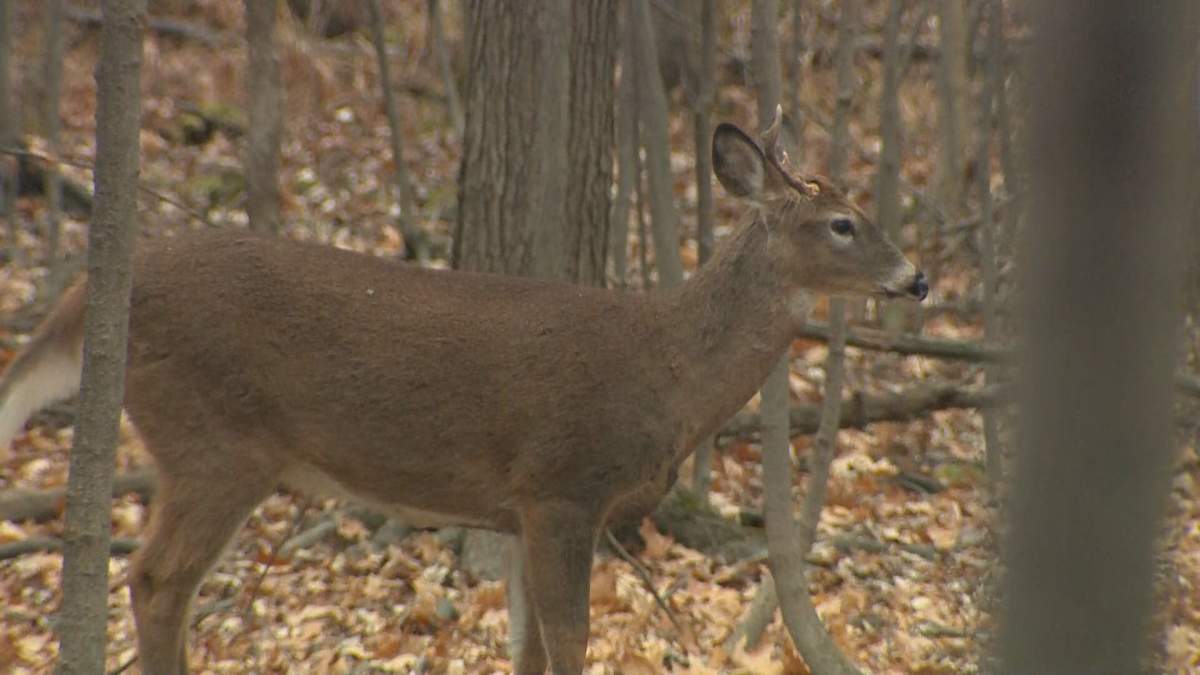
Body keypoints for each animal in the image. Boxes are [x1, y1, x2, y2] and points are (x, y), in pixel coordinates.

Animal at [0, 110, 926, 674]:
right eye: (842, 223)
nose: (916, 278)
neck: (665, 371)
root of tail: (87, 297)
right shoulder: (562, 483)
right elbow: (569, 638)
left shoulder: (517, 508)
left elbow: (527, 645)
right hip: (214, 440)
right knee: (158, 578)